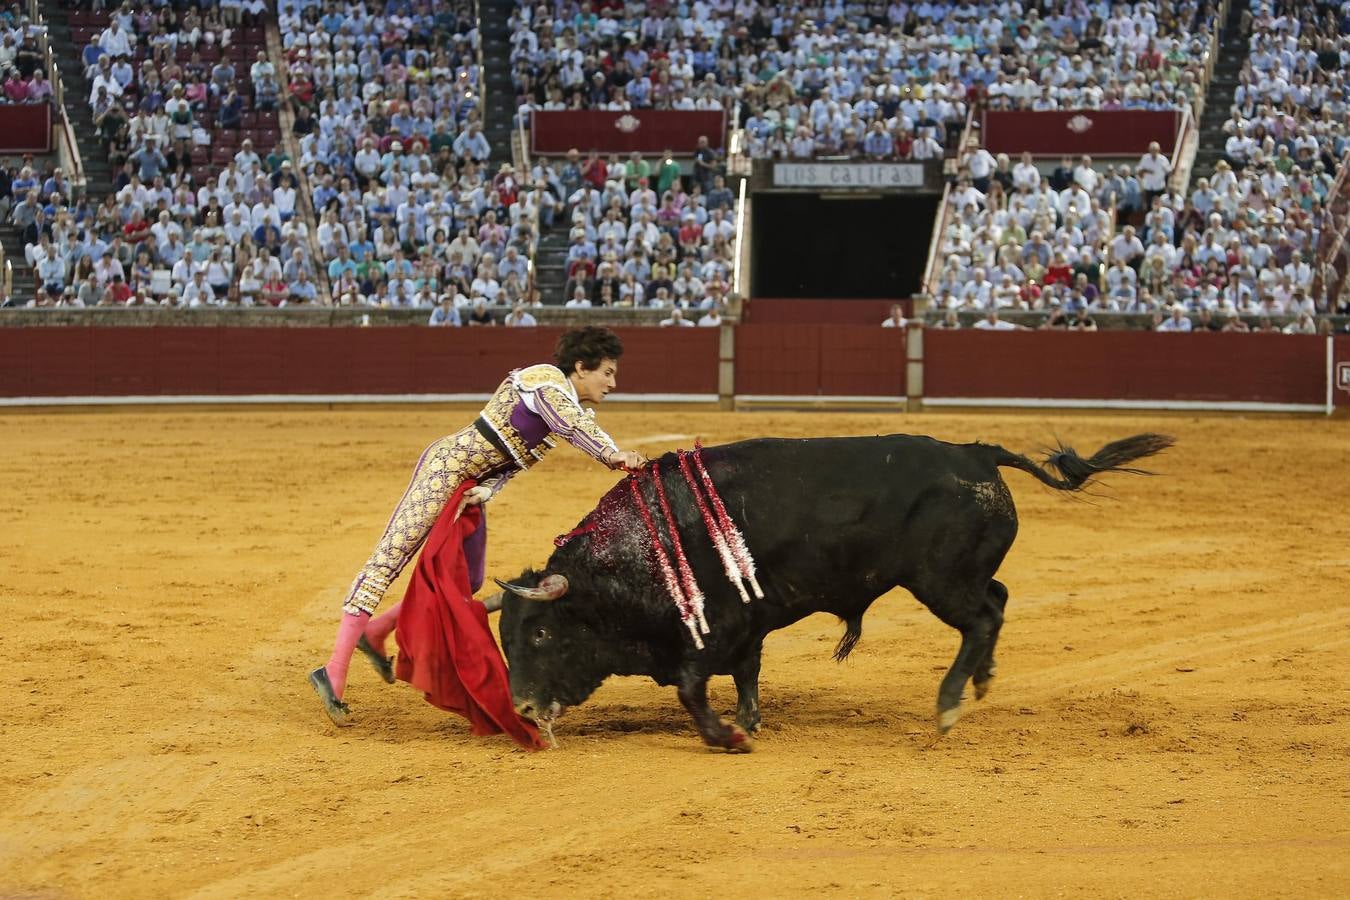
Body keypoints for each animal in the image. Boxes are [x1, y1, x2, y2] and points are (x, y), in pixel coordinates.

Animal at [496, 431, 1171, 750]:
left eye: (541, 632)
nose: (522, 709)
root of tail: (976, 453)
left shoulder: (717, 629)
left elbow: (693, 688)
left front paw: (729, 736)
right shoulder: (746, 629)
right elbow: (747, 674)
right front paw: (750, 720)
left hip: (940, 581)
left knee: (981, 617)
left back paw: (949, 703)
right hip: (960, 575)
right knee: (998, 600)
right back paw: (982, 680)